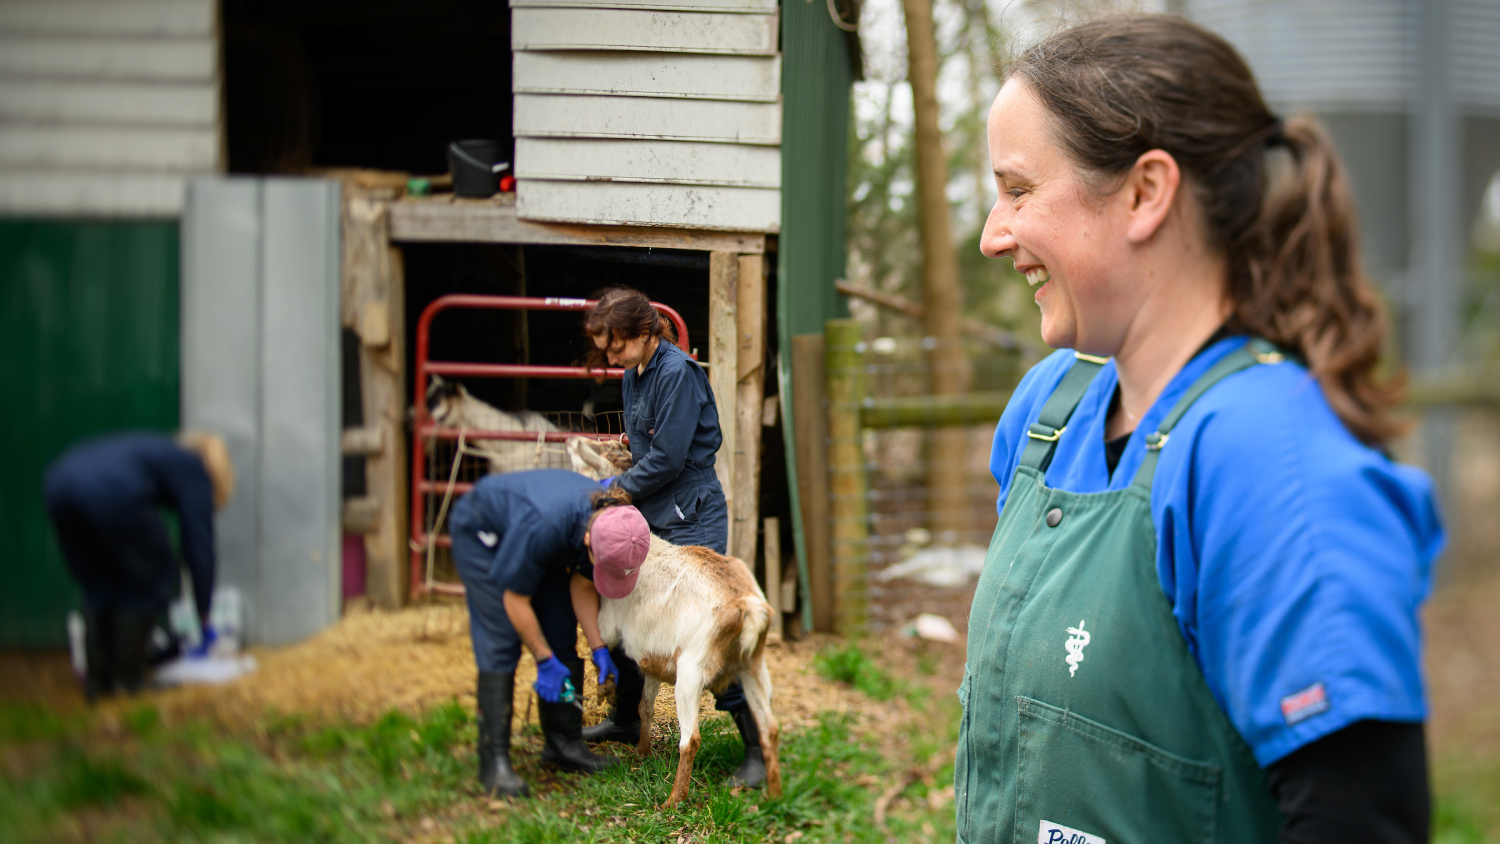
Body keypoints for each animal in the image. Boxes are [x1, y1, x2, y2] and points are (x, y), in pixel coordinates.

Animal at [597, 539, 786, 809]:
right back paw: (774, 795)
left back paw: (673, 802)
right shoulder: (653, 657)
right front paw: (643, 752)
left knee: (691, 740)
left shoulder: (608, 627)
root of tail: (747, 605)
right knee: (769, 728)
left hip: (691, 670)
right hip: (754, 665)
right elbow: (645, 706)